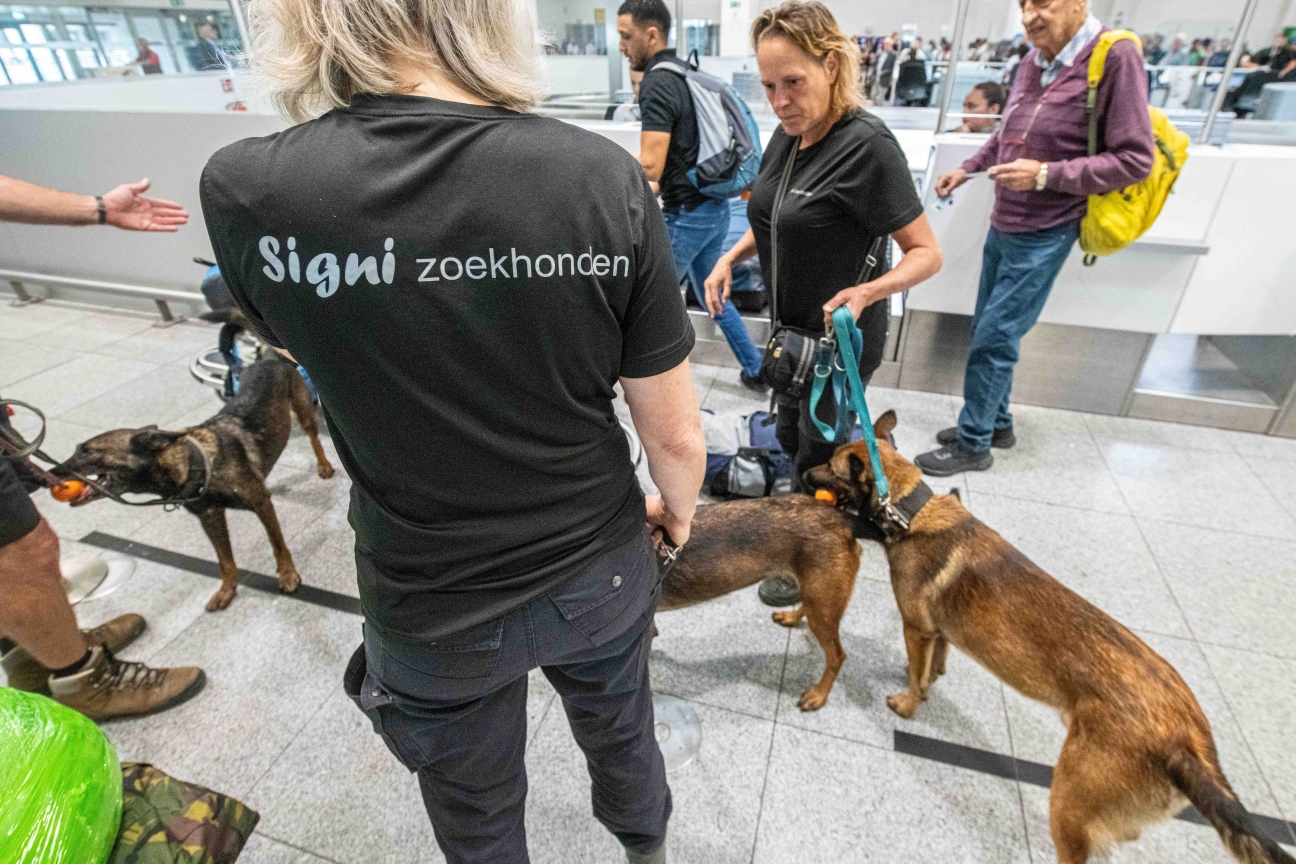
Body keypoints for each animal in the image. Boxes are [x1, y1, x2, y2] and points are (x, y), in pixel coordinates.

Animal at [658, 497, 860, 715]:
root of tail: (842, 521)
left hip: (822, 610)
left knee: (837, 657)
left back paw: (819, 695)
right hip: (815, 598)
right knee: (807, 608)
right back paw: (791, 617)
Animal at [803, 411, 1290, 864]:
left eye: (830, 465)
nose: (805, 474)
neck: (910, 509)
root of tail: (1188, 741)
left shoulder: (916, 626)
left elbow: (916, 675)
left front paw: (907, 703)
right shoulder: (940, 630)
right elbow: (934, 662)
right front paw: (926, 681)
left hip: (1068, 800)